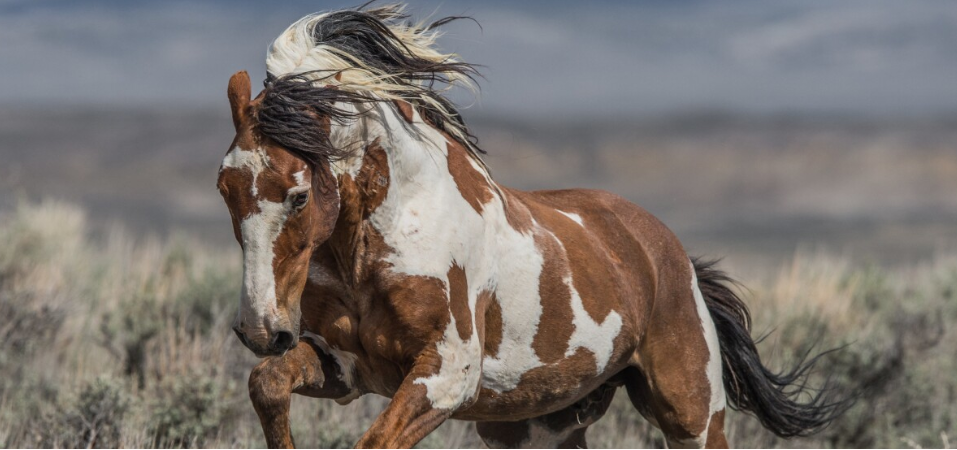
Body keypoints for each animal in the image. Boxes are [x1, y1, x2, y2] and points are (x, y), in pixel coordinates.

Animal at [216, 4, 850, 448]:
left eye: (299, 195)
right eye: (224, 189)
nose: (259, 329)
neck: (376, 243)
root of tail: (670, 254)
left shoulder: (444, 377)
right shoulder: (347, 368)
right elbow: (266, 383)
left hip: (691, 412)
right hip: (539, 425)